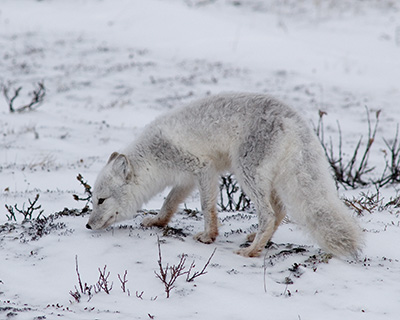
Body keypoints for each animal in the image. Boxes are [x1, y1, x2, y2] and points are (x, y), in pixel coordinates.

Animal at [86, 92, 362, 258]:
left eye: (101, 200)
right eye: (94, 201)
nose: (88, 225)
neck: (154, 155)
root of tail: (294, 119)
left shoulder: (203, 168)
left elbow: (207, 207)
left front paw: (208, 236)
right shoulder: (186, 180)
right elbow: (169, 203)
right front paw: (157, 221)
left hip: (246, 173)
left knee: (269, 214)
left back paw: (252, 251)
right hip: (266, 178)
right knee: (280, 210)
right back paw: (257, 239)